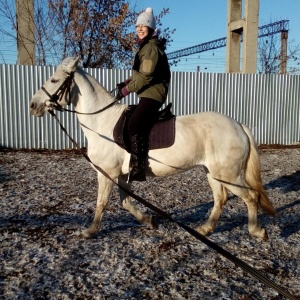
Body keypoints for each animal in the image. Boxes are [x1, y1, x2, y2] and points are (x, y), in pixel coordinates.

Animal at [29, 57, 276, 240]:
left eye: (54, 79)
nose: (33, 106)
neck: (102, 121)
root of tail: (238, 125)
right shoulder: (121, 175)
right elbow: (126, 202)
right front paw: (149, 221)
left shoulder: (107, 173)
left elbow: (102, 202)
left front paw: (90, 231)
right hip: (213, 173)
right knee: (221, 198)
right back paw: (206, 229)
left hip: (229, 174)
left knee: (251, 197)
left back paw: (256, 231)